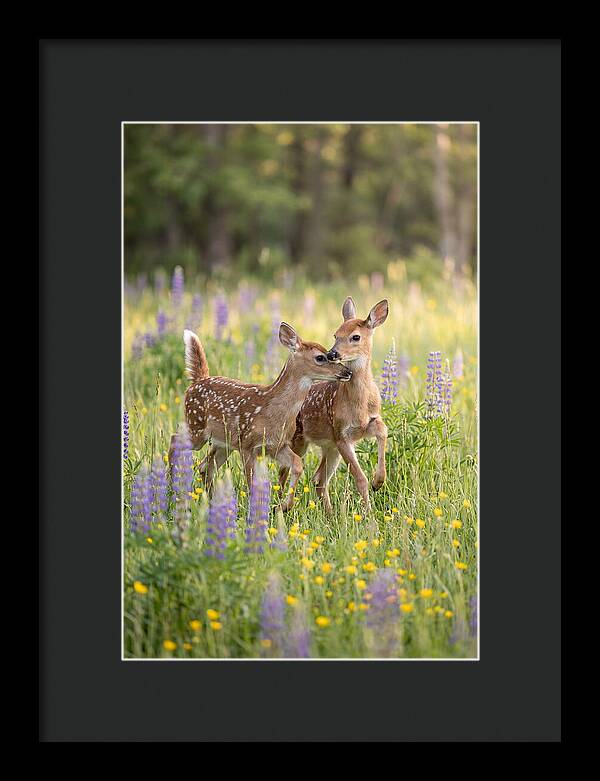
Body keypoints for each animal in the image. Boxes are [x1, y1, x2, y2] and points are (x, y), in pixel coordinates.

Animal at [170, 322, 352, 511]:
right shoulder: (247, 445)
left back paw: (212, 503)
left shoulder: (277, 445)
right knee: (175, 439)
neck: (272, 411)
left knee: (205, 466)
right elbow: (252, 483)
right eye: (320, 357)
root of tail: (197, 381)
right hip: (196, 427)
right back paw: (171, 486)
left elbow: (297, 464)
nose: (347, 372)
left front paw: (283, 506)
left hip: (223, 443)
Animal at [279, 297, 389, 514]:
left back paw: (329, 514)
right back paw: (279, 506)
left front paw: (378, 481)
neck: (360, 404)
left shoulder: (367, 424)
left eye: (355, 337)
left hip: (329, 447)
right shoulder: (341, 434)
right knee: (285, 472)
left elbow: (383, 431)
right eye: (336, 335)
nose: (332, 353)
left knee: (319, 479)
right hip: (299, 440)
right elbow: (360, 478)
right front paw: (369, 514)